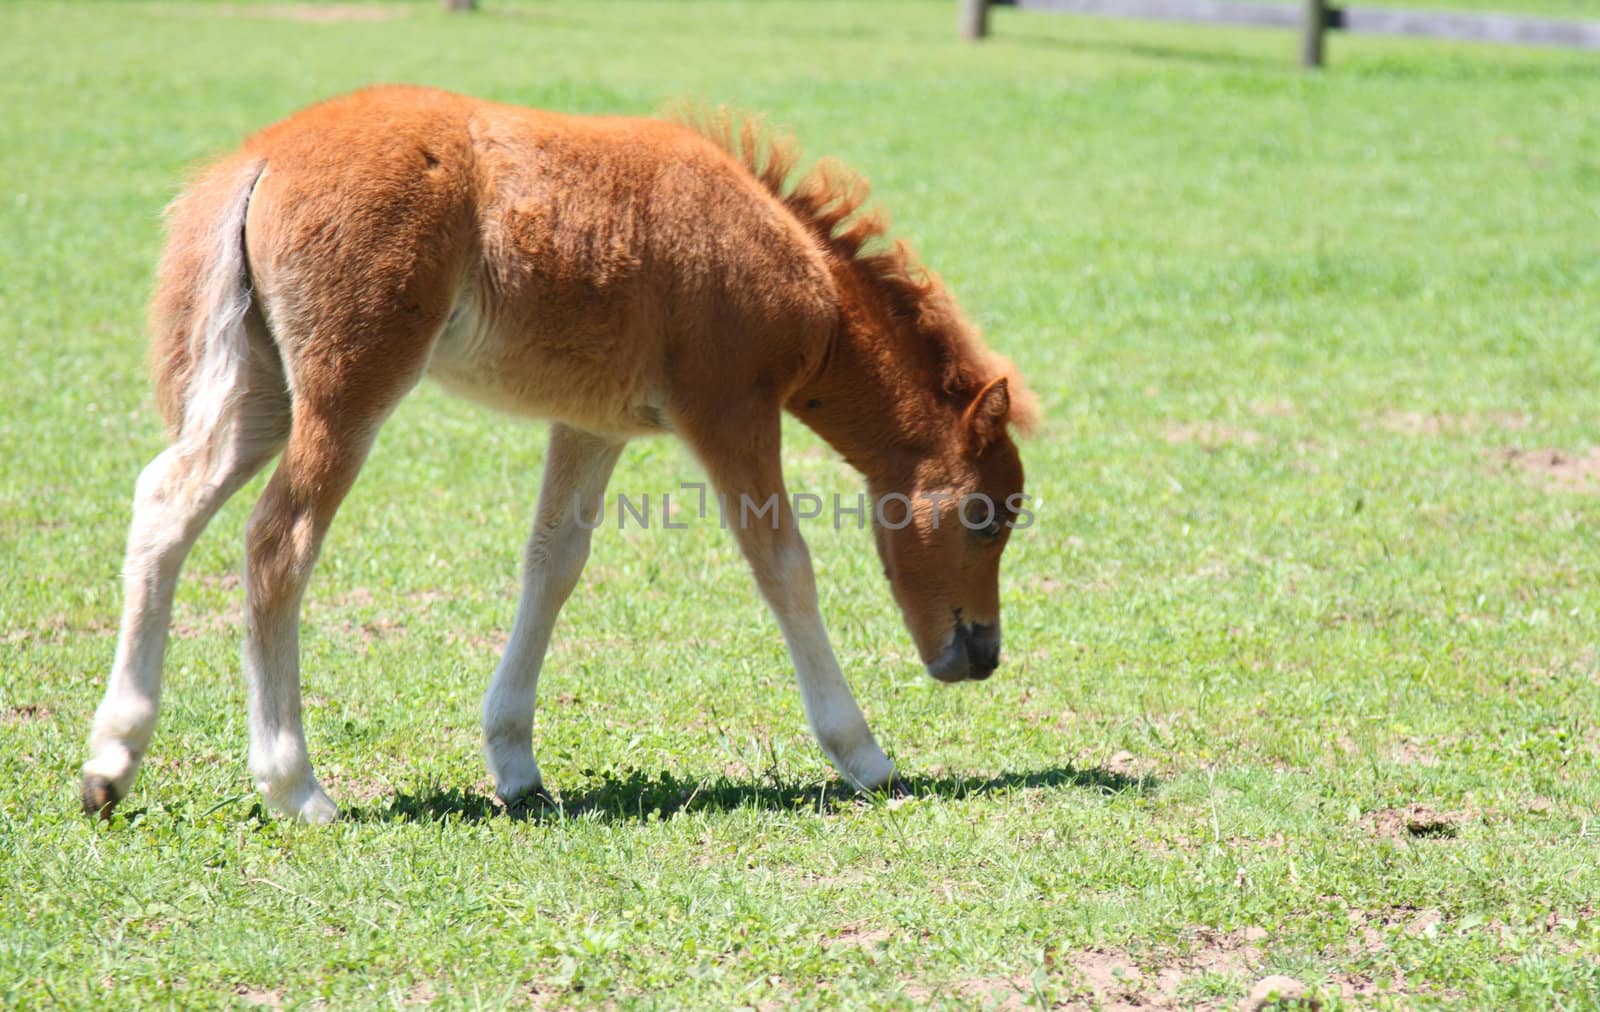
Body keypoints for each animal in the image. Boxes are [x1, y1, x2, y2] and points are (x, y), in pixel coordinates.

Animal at [81, 86, 1036, 819]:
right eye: (987, 519)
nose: (982, 655)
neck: (796, 270)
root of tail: (260, 158)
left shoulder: (593, 424)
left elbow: (553, 564)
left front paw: (515, 763)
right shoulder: (729, 408)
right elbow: (783, 566)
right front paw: (864, 754)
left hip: (259, 390)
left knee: (164, 502)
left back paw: (110, 762)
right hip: (349, 386)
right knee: (278, 542)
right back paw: (295, 787)